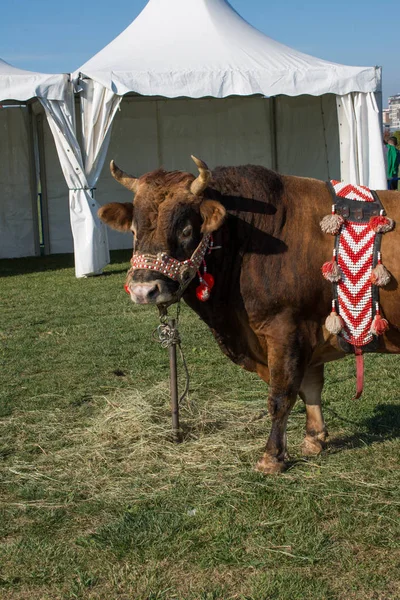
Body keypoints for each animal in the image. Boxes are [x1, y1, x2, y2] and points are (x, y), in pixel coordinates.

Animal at [99, 158, 400, 474]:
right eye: (134, 230)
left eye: (185, 230)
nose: (144, 289)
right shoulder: (308, 332)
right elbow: (310, 387)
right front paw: (314, 439)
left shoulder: (286, 328)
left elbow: (281, 395)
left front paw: (272, 456)